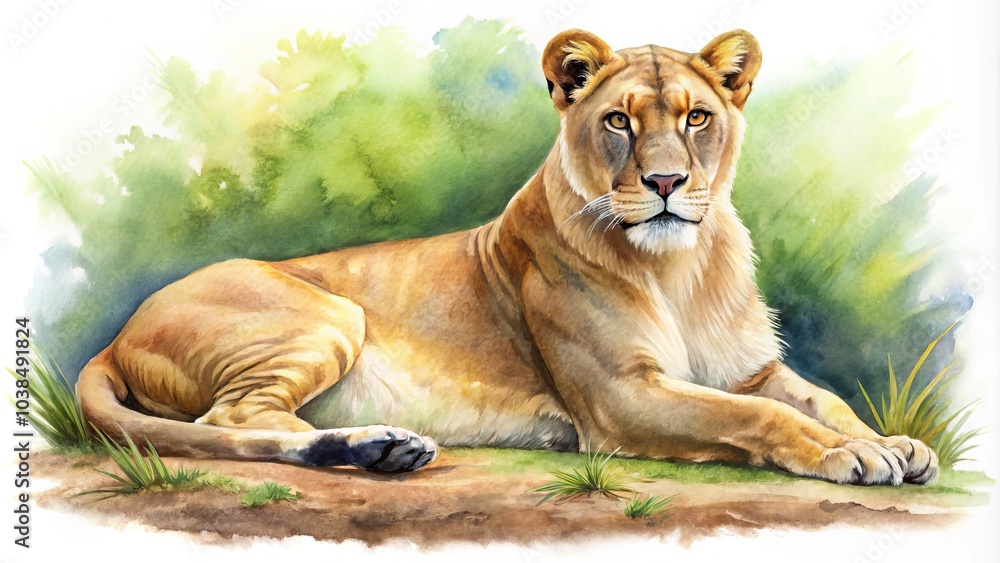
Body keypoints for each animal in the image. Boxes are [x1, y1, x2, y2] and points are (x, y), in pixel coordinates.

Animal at [77, 28, 937, 485]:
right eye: (619, 121)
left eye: (697, 117)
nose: (665, 182)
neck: (681, 267)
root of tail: (115, 335)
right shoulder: (622, 397)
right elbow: (758, 416)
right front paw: (855, 454)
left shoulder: (746, 367)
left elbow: (817, 397)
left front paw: (893, 441)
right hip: (326, 314)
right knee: (232, 418)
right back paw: (375, 444)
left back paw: (384, 447)